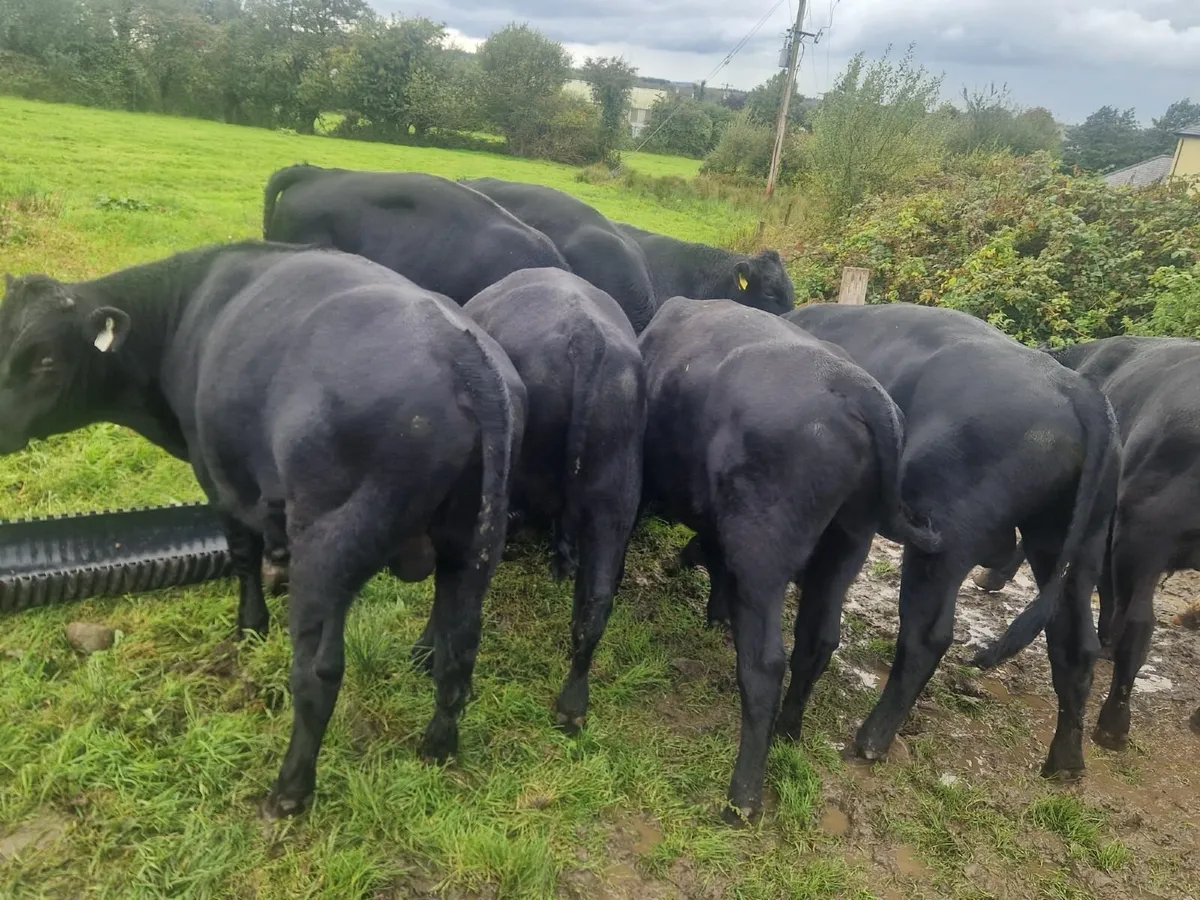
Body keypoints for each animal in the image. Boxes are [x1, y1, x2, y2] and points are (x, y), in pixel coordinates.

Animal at [0, 243, 525, 819]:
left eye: (45, 359)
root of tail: (463, 352)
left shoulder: (219, 477)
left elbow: (243, 553)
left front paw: (251, 625)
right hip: (475, 544)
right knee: (460, 648)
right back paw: (438, 747)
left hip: (330, 544)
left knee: (319, 671)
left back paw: (290, 789)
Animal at [639, 298, 941, 825]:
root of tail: (855, 385)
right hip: (844, 547)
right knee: (817, 641)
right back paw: (788, 729)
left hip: (764, 553)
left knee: (764, 665)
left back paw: (742, 797)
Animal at [785, 302, 1120, 781]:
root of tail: (1078, 389)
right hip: (1070, 545)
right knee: (1074, 645)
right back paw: (1065, 763)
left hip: (944, 545)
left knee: (928, 636)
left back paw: (872, 739)